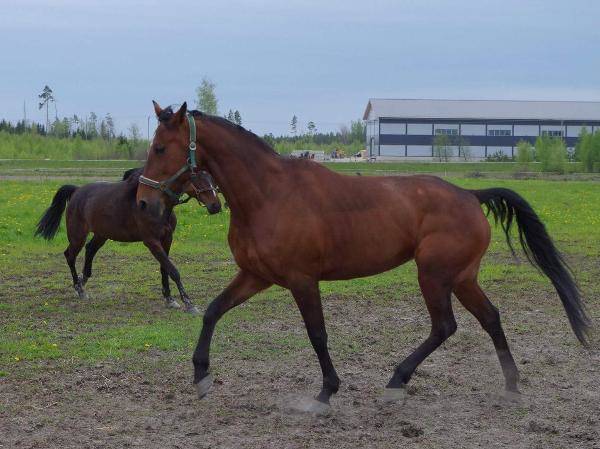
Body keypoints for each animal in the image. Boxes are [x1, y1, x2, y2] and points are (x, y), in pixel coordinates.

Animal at [35, 166, 221, 314]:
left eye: (211, 178)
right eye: (197, 179)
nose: (216, 206)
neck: (159, 206)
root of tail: (77, 190)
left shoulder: (167, 239)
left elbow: (165, 269)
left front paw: (169, 299)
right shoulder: (151, 241)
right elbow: (173, 270)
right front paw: (189, 303)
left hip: (102, 234)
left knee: (90, 249)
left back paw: (83, 280)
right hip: (77, 236)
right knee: (70, 255)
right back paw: (79, 288)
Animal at [137, 102, 590, 408]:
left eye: (159, 148)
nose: (143, 203)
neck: (268, 195)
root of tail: (469, 195)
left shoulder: (302, 280)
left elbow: (317, 334)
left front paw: (326, 392)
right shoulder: (255, 275)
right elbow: (213, 311)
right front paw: (201, 375)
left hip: (434, 275)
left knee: (445, 326)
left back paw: (397, 381)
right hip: (462, 277)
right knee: (490, 317)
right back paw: (510, 385)